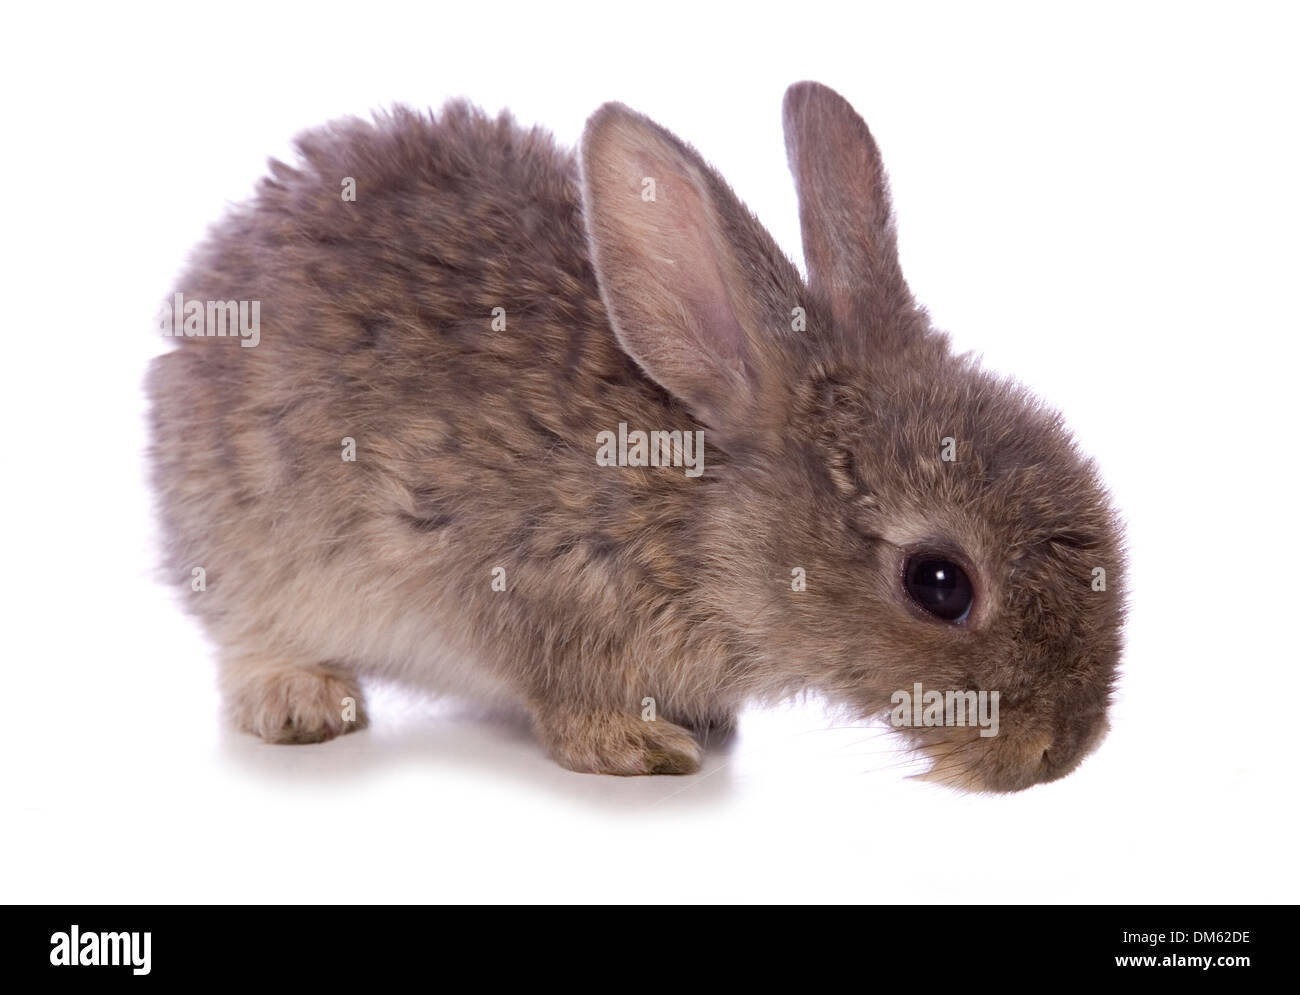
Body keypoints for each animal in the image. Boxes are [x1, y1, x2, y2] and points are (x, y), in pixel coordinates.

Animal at [147, 79, 1128, 790]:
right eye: (939, 584)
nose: (1059, 753)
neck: (699, 514)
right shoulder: (538, 592)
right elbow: (567, 700)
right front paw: (640, 746)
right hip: (248, 551)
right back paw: (302, 701)